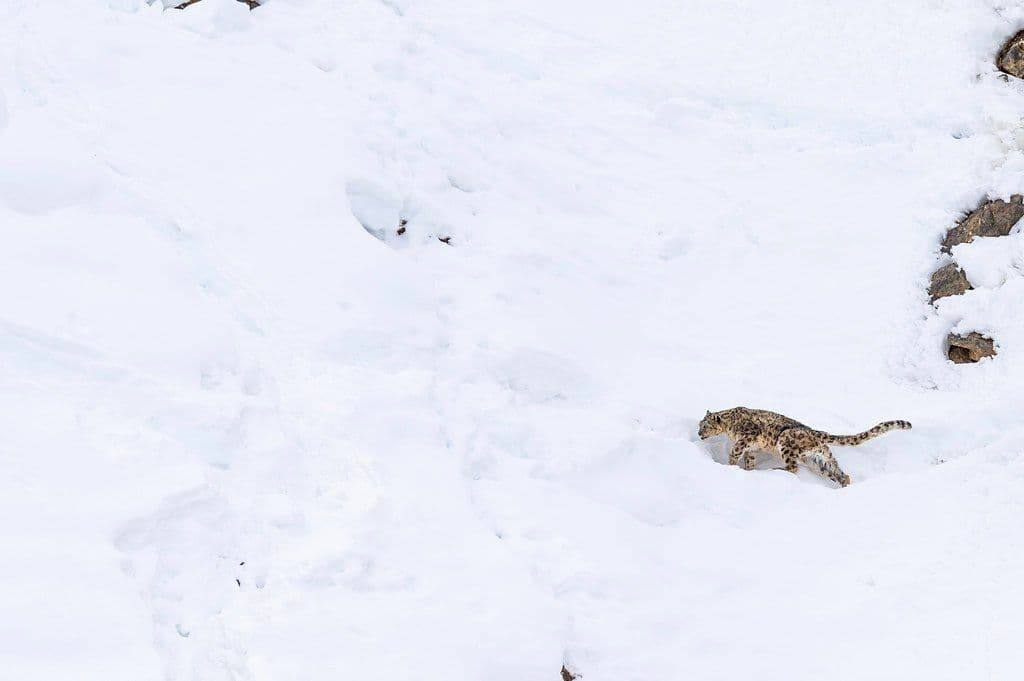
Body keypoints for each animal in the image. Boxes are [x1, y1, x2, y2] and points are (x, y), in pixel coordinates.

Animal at [697, 407, 911, 487]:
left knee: (793, 468)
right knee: (839, 472)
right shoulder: (752, 449)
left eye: (704, 425)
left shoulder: (744, 440)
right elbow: (749, 460)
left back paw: (777, 470)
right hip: (819, 459)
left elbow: (734, 453)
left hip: (786, 442)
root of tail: (815, 432)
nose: (699, 434)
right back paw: (844, 485)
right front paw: (748, 470)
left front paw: (730, 466)